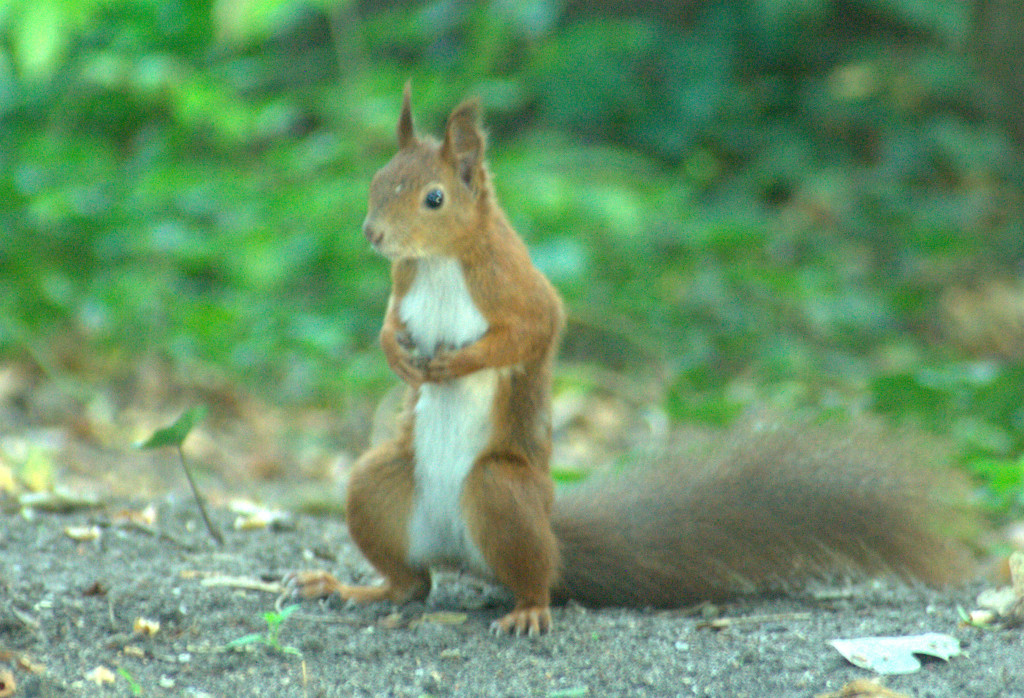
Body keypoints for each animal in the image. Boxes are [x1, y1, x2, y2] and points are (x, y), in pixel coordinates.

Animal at [286, 84, 966, 634]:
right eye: (377, 181)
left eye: (433, 198)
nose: (373, 234)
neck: (439, 262)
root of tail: (467, 551)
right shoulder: (403, 285)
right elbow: (386, 324)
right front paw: (395, 355)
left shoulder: (521, 289)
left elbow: (533, 332)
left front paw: (457, 363)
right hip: (379, 485)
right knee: (412, 583)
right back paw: (350, 587)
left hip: (502, 492)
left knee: (525, 577)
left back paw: (528, 608)